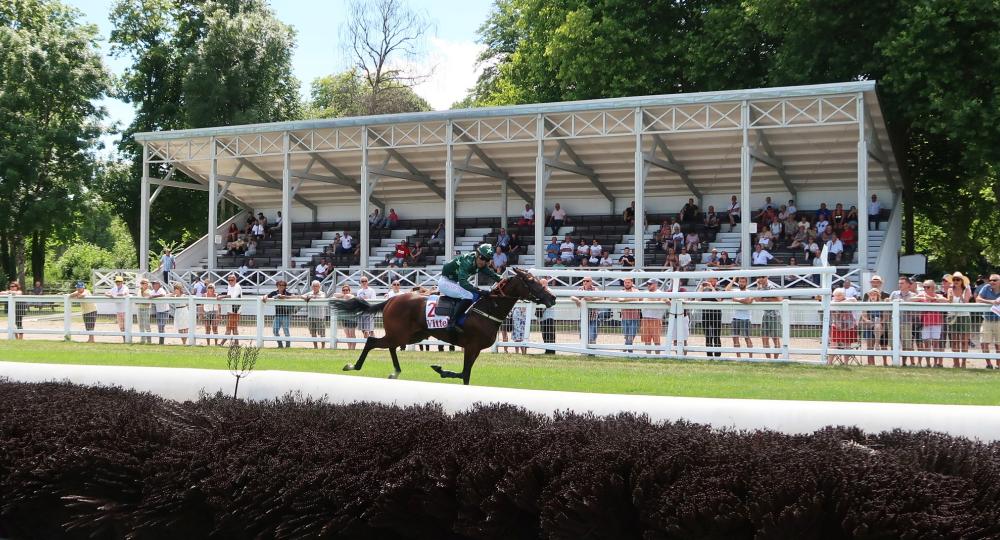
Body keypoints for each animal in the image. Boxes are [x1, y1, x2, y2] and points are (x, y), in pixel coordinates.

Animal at [334, 268, 556, 386]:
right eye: (530, 281)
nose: (552, 298)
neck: (487, 308)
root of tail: (392, 299)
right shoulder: (472, 346)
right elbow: (465, 374)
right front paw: (442, 370)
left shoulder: (474, 349)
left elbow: (464, 373)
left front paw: (441, 369)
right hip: (400, 334)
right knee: (372, 341)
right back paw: (353, 366)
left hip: (411, 335)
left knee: (388, 346)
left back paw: (395, 372)